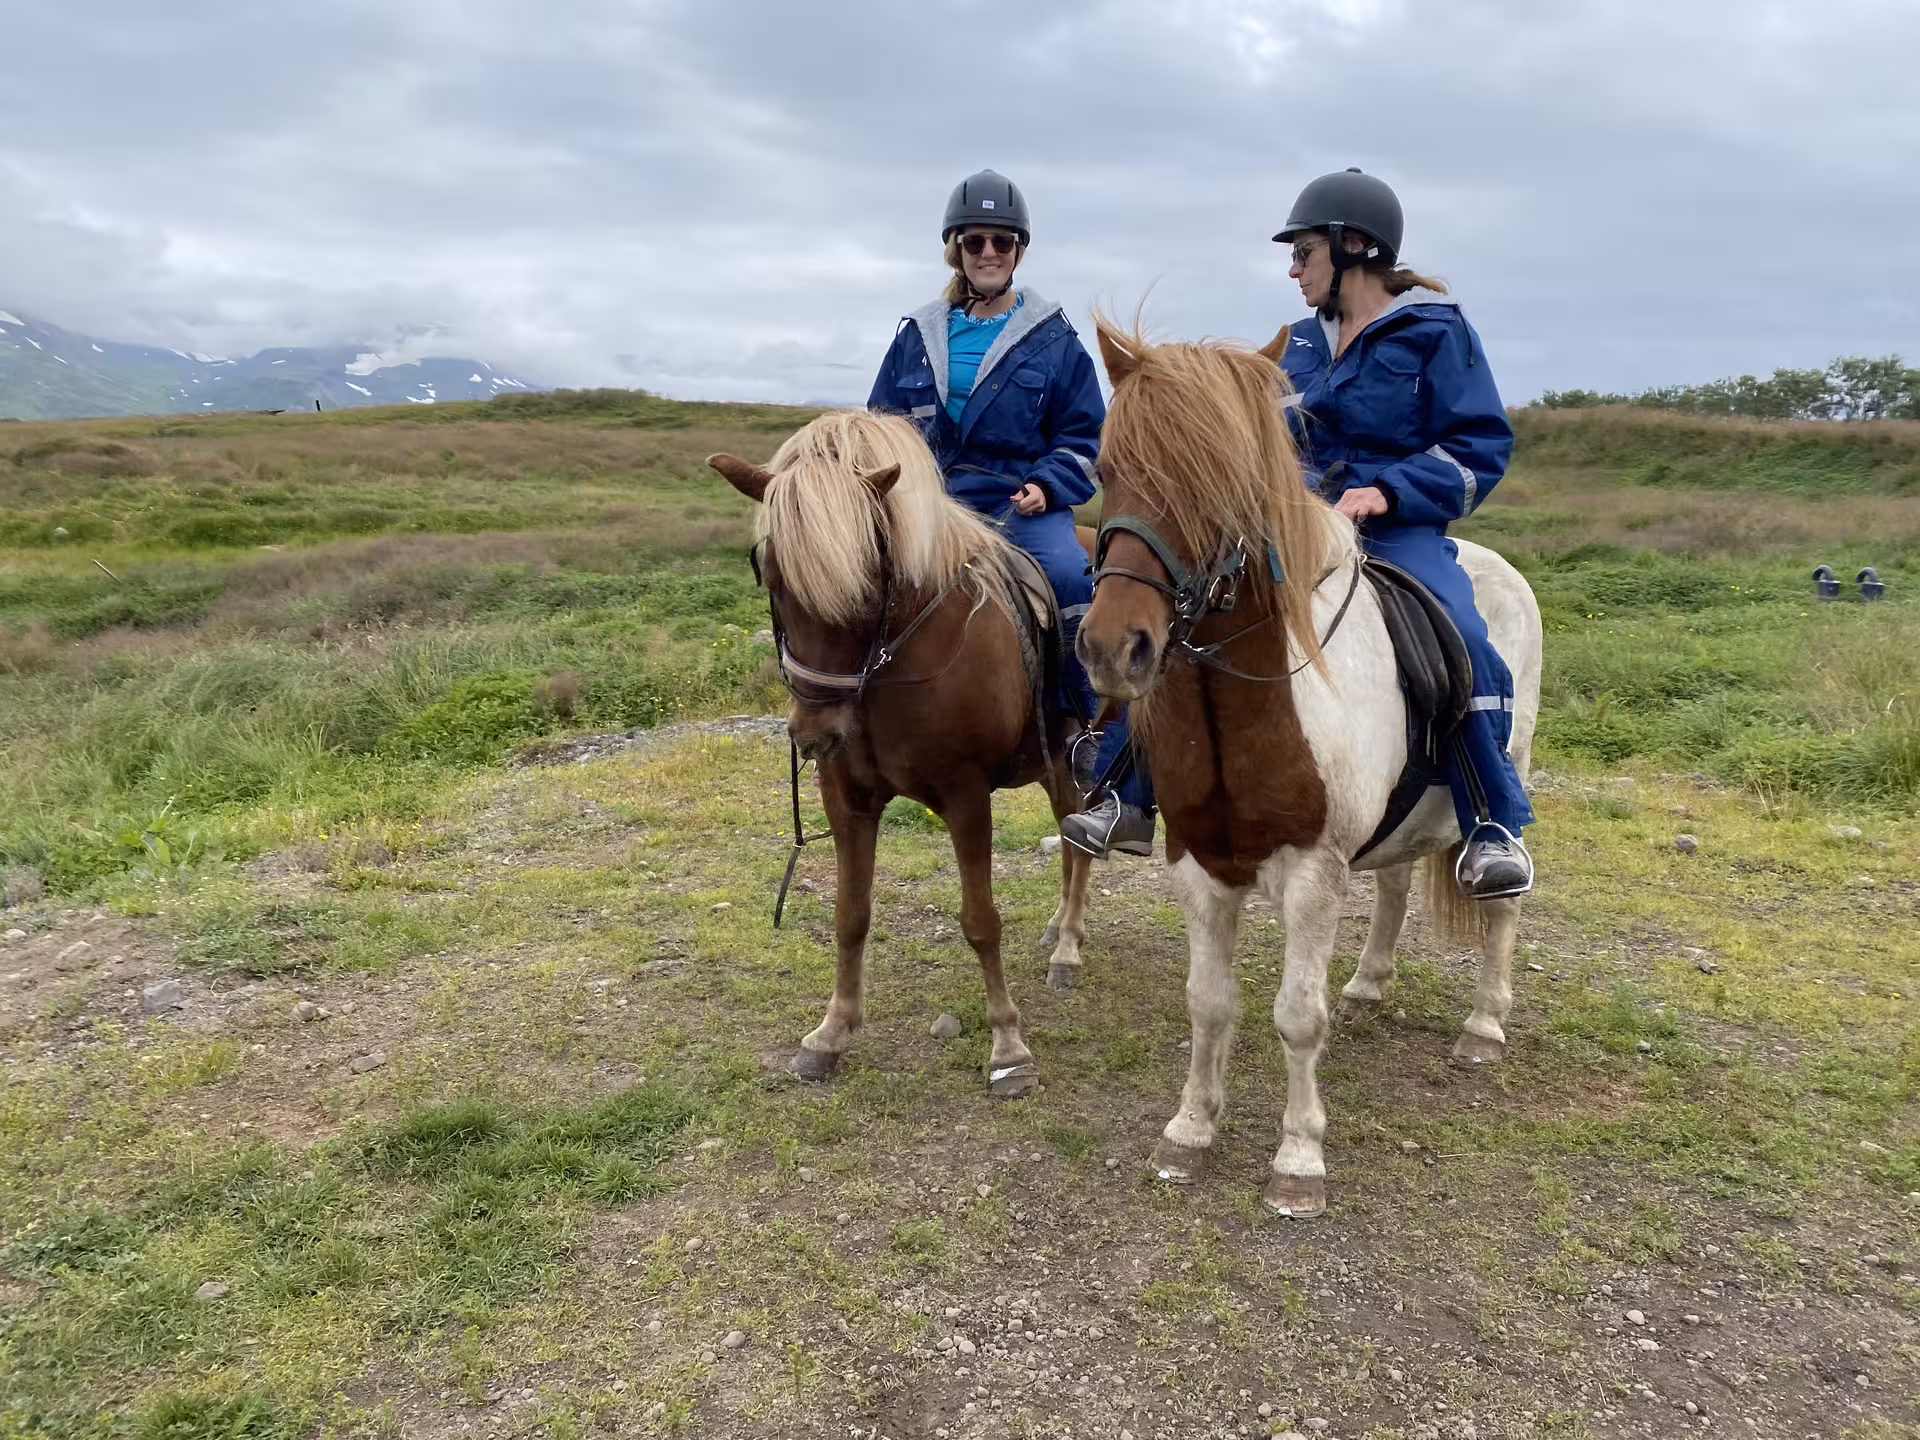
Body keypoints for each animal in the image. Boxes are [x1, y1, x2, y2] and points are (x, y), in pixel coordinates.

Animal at [707, 410, 1097, 1099]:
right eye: (770, 578)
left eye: (869, 583)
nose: (813, 732)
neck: (889, 668)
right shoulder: (846, 798)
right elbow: (850, 915)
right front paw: (831, 1034)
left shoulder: (966, 798)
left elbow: (980, 920)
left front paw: (1008, 1045)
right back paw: (1060, 931)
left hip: (1068, 756)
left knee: (1078, 841)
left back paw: (1068, 947)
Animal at [1076, 319, 1542, 1217]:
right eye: (1105, 469)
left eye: (1220, 482)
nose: (1115, 649)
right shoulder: (1198, 863)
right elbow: (1209, 1003)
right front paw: (1190, 1131)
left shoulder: (1312, 873)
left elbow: (1296, 1016)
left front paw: (1298, 1159)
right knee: (1394, 884)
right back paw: (1369, 985)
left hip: (1508, 777)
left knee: (1500, 903)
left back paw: (1484, 1025)